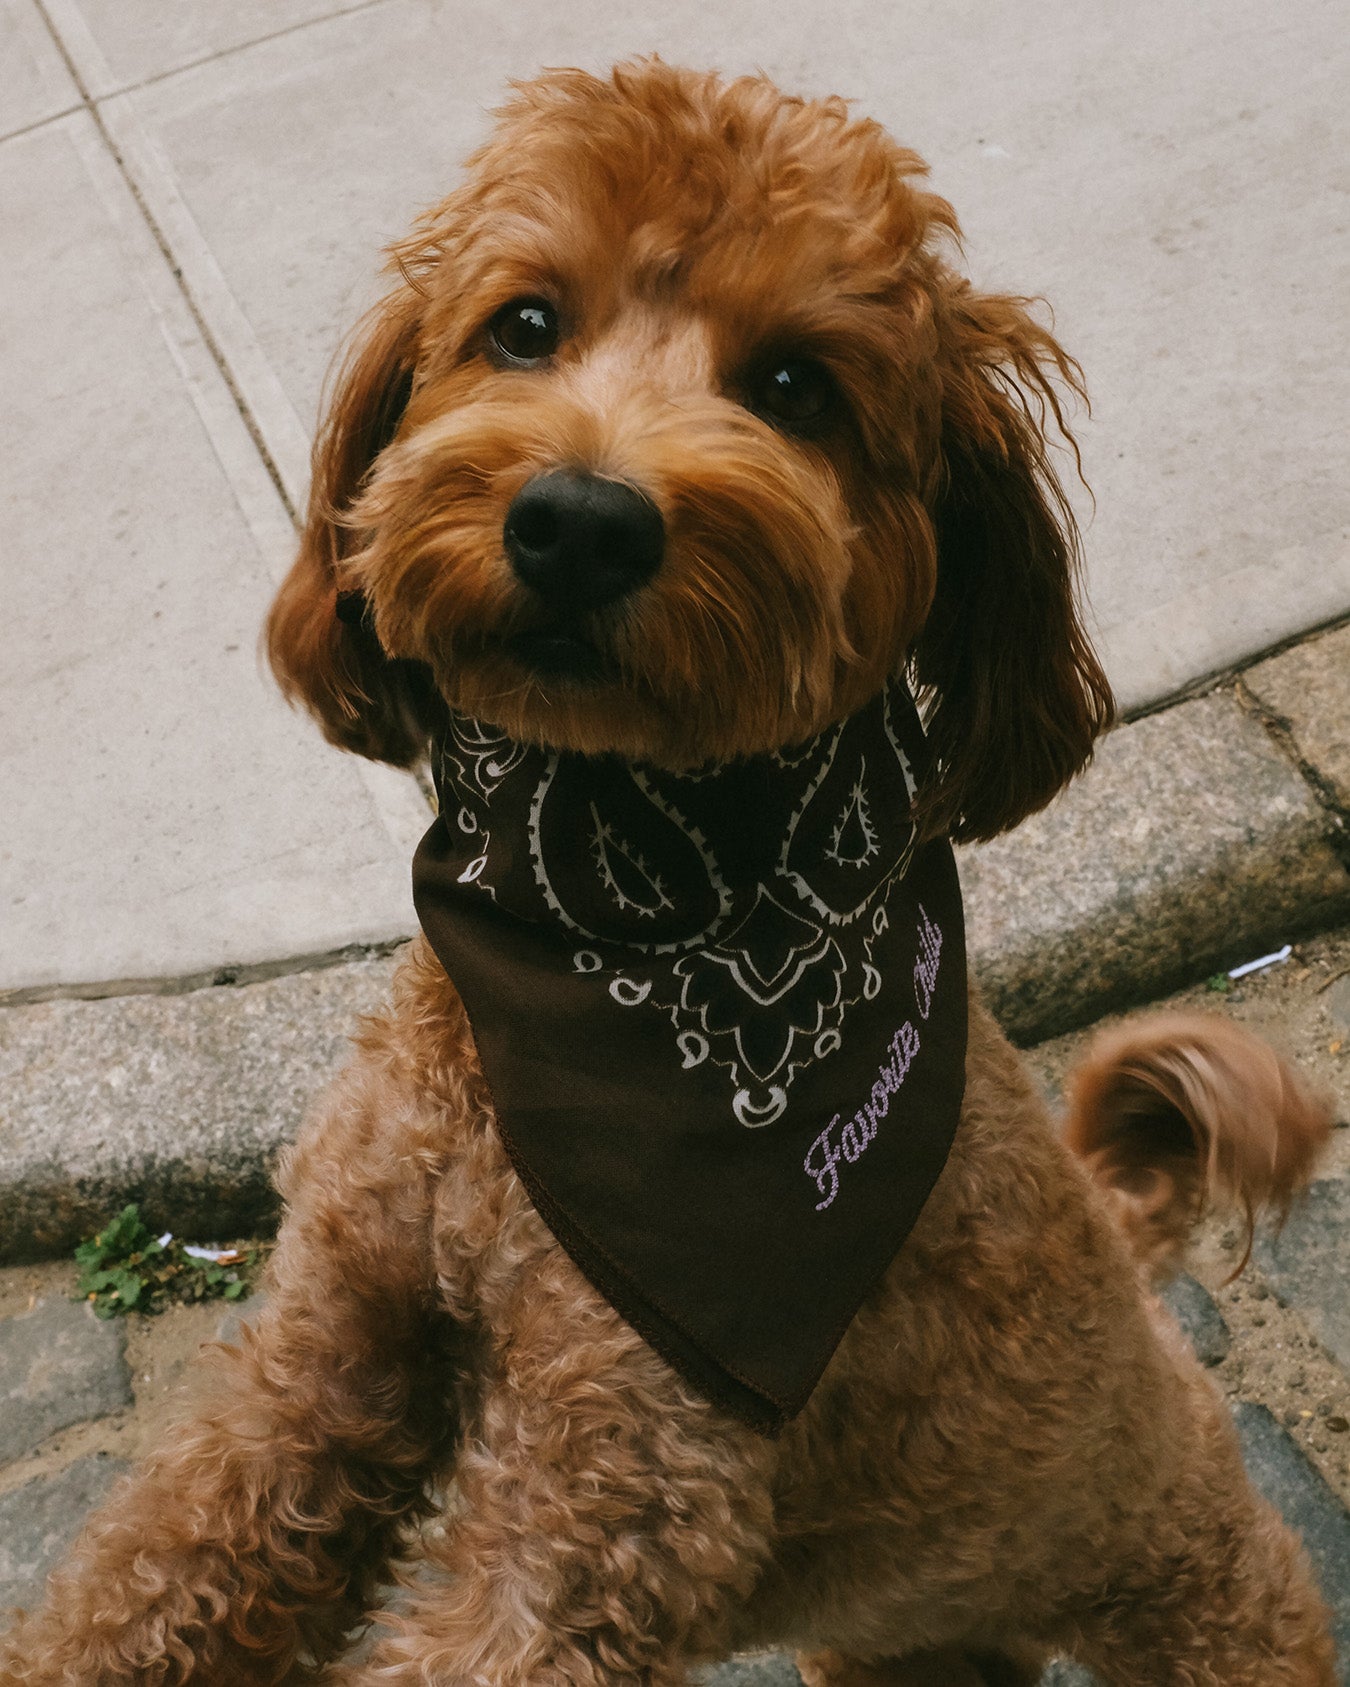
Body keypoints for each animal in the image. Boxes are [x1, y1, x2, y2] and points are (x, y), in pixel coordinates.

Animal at [0, 56, 1336, 1687]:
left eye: (795, 387)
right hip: (907, 1640)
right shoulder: (325, 1361)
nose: (579, 519)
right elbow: (153, 1572)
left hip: (1199, 1579)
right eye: (522, 325)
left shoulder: (606, 1508)